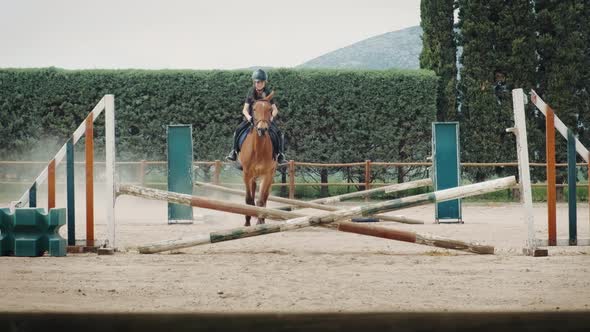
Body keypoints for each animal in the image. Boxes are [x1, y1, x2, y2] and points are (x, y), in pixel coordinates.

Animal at [239, 91, 278, 226]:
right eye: (254, 109)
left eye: (270, 109)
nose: (262, 129)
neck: (258, 150)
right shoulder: (247, 174)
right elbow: (248, 199)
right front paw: (247, 222)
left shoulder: (266, 175)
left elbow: (261, 200)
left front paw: (260, 222)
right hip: (253, 177)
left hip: (269, 175)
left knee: (265, 197)